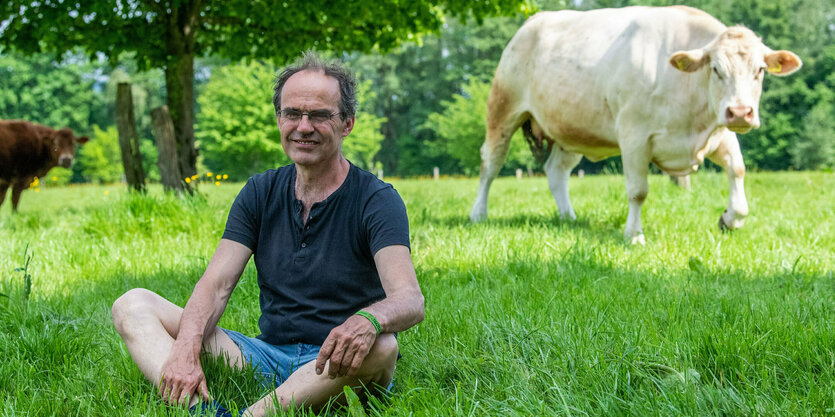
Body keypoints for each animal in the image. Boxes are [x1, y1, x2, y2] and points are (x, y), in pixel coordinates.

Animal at [470, 5, 804, 244]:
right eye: (716, 69)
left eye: (760, 70)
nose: (740, 112)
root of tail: (533, 22)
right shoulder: (634, 137)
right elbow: (638, 191)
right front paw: (633, 235)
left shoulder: (718, 133)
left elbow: (737, 170)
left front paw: (730, 219)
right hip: (503, 109)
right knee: (490, 163)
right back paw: (478, 214)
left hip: (572, 128)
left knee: (556, 171)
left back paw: (568, 217)